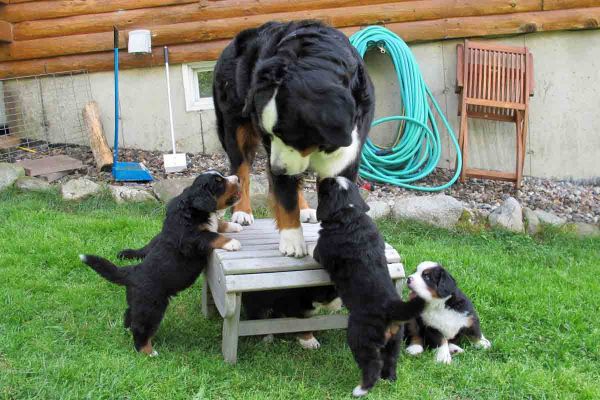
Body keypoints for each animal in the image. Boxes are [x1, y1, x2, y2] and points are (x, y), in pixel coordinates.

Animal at [78, 172, 243, 356]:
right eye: (219, 182)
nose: (237, 178)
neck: (194, 210)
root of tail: (132, 272)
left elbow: (217, 225)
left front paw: (234, 226)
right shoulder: (191, 239)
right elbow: (212, 235)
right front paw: (232, 243)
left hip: (137, 302)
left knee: (130, 315)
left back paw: (128, 330)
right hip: (151, 306)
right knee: (141, 327)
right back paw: (147, 351)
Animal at [211, 19, 372, 256]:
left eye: (289, 135)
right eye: (269, 134)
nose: (278, 168)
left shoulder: (347, 154)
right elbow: (285, 199)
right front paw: (292, 240)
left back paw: (304, 208)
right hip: (234, 127)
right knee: (241, 169)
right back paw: (242, 211)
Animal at [312, 177, 424, 396]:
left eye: (327, 185)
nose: (321, 178)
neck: (351, 215)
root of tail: (391, 306)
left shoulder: (320, 251)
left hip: (360, 337)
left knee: (372, 364)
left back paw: (362, 389)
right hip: (395, 339)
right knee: (391, 360)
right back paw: (389, 379)